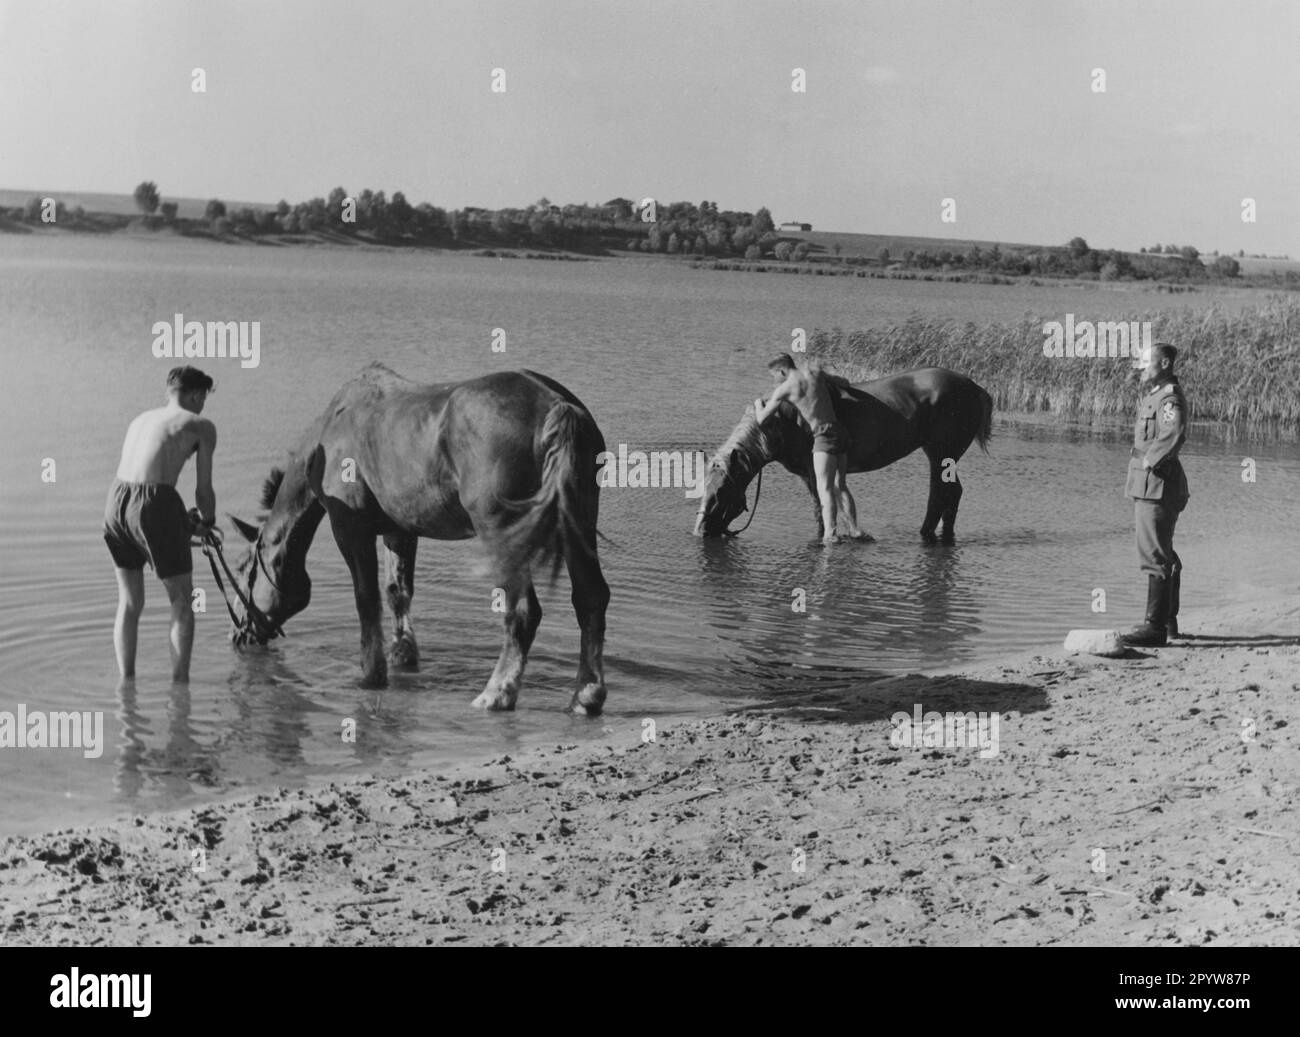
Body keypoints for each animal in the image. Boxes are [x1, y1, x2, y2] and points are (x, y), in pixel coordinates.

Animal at [227, 363, 608, 717]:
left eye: (244, 571)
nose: (238, 634)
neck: (334, 432)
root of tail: (556, 405)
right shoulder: (400, 530)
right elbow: (397, 592)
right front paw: (403, 653)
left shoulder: (349, 529)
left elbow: (366, 601)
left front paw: (371, 674)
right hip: (579, 526)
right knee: (590, 599)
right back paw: (586, 695)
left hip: (502, 536)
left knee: (523, 613)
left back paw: (496, 693)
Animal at [696, 366, 987, 543]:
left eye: (722, 491)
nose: (700, 531)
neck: (784, 421)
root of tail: (975, 388)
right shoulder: (807, 474)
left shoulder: (813, 471)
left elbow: (820, 508)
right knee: (949, 494)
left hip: (940, 455)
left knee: (942, 493)